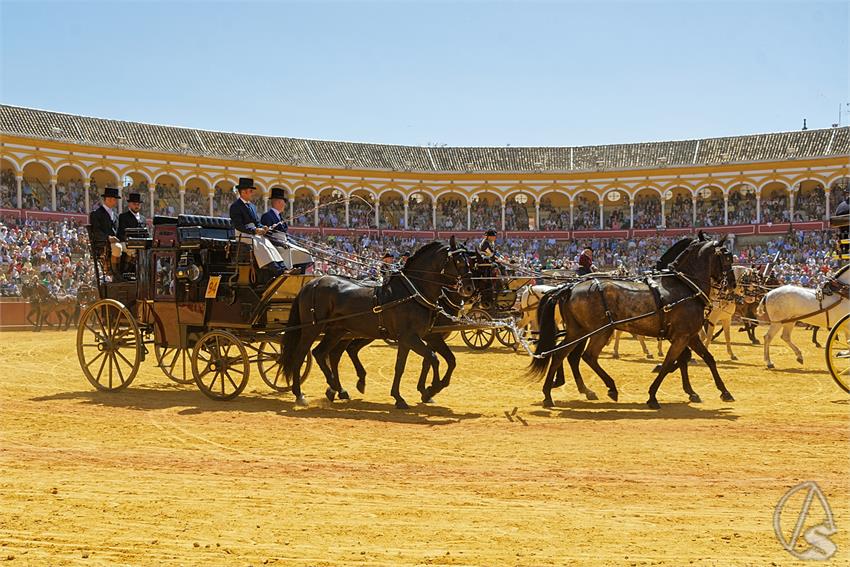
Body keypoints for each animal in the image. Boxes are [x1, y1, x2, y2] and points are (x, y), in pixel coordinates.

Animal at [528, 237, 736, 410]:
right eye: (727, 258)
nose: (733, 284)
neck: (684, 287)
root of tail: (569, 288)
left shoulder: (689, 336)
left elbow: (707, 359)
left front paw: (722, 392)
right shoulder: (681, 336)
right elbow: (670, 363)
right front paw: (653, 396)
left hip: (579, 331)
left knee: (565, 355)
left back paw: (553, 393)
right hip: (597, 331)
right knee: (582, 356)